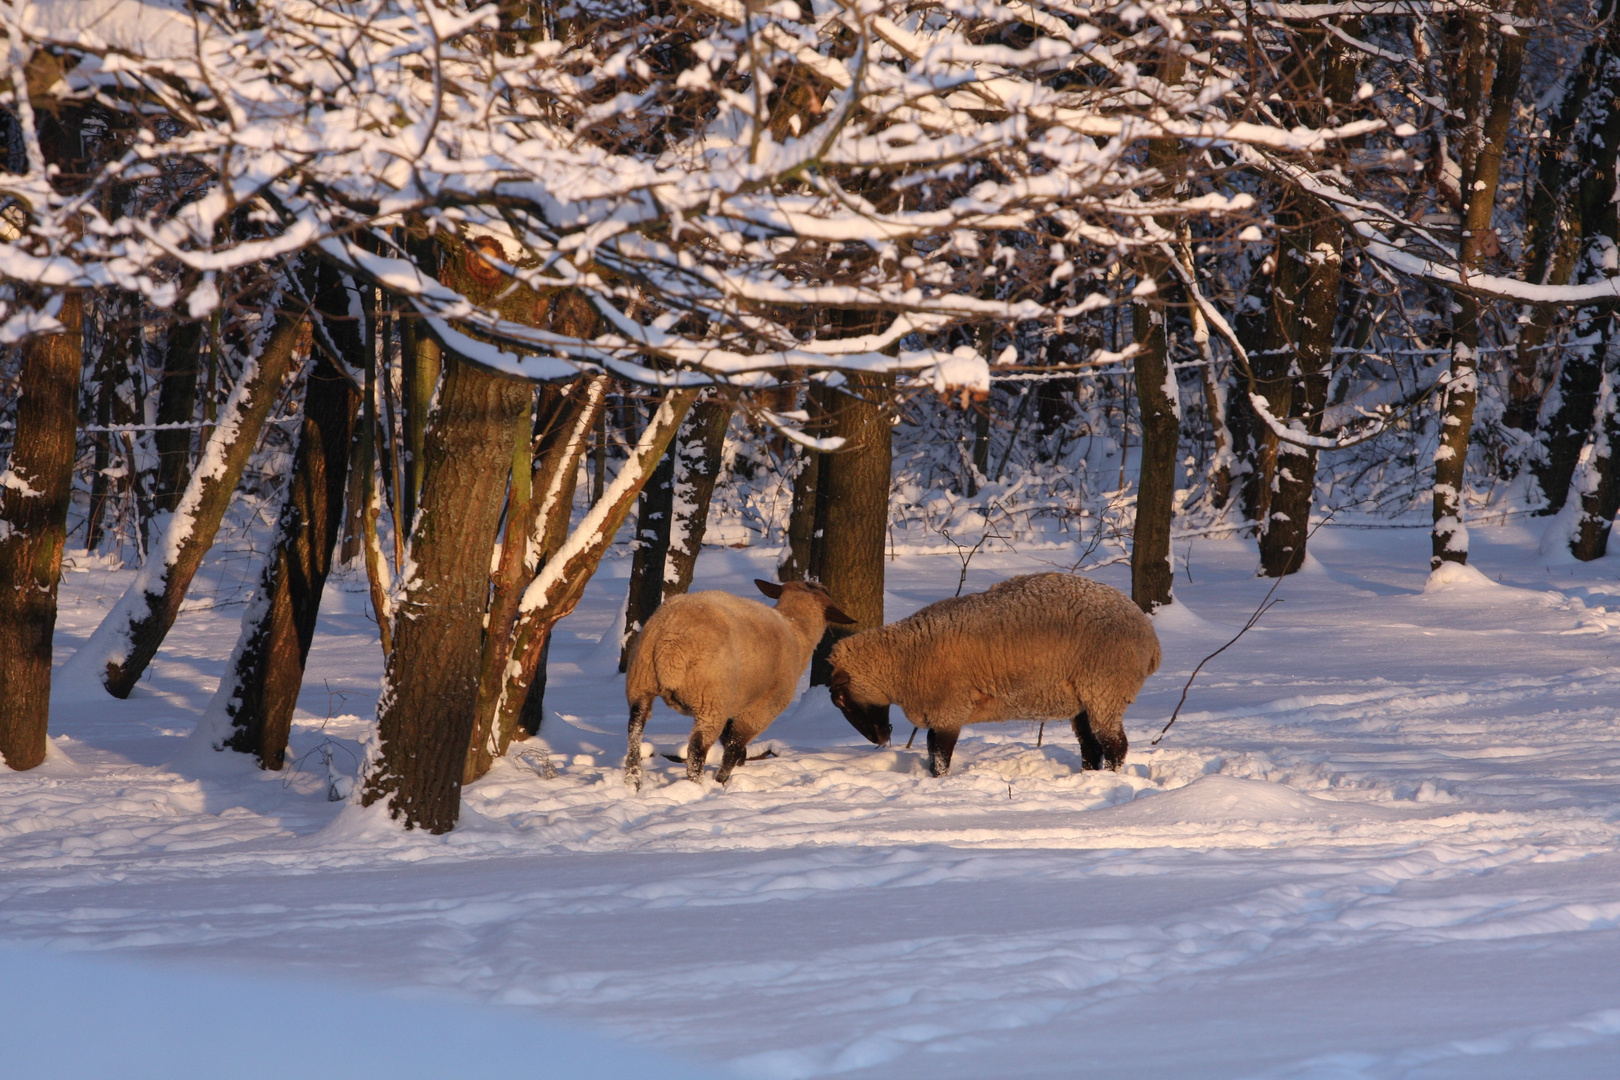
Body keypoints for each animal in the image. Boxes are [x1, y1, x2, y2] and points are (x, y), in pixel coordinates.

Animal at [622, 579, 861, 790]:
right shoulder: (762, 708)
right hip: (711, 701)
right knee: (696, 750)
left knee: (634, 731)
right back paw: (696, 787)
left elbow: (729, 740)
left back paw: (633, 782)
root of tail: (670, 642)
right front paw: (722, 780)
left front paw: (740, 765)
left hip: (641, 682)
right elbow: (734, 746)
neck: (796, 632)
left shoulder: (735, 703)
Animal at [829, 573, 1159, 777]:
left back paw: (1111, 779)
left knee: (1115, 745)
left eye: (841, 700)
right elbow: (932, 749)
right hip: (1082, 698)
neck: (904, 659)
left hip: (1105, 689)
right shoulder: (940, 712)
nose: (881, 739)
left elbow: (940, 754)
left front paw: (940, 782)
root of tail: (1150, 636)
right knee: (1090, 746)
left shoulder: (949, 708)